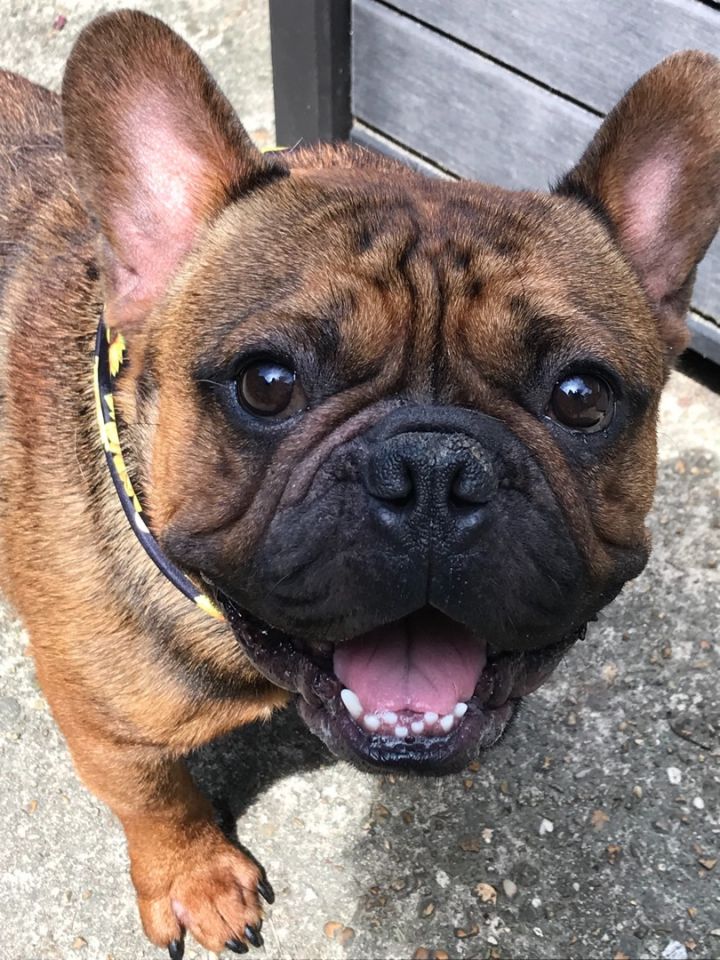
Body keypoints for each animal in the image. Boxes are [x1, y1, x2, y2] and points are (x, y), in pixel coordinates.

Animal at [1, 9, 720, 960]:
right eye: (267, 383)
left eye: (581, 396)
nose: (435, 470)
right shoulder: (106, 727)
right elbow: (153, 798)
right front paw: (196, 878)